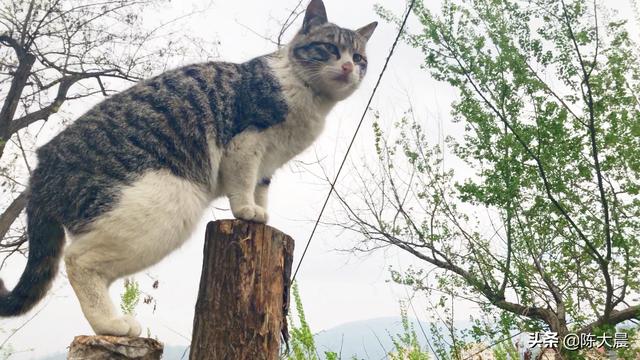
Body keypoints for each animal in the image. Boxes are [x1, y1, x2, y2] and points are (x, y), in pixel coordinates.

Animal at [0, 0, 376, 338]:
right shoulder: (246, 142)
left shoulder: (268, 162)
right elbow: (243, 183)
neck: (311, 100)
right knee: (78, 261)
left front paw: (262, 213)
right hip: (168, 203)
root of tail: (41, 167)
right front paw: (246, 211)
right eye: (330, 48)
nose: (348, 67)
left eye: (359, 58)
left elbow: (261, 188)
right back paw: (112, 324)